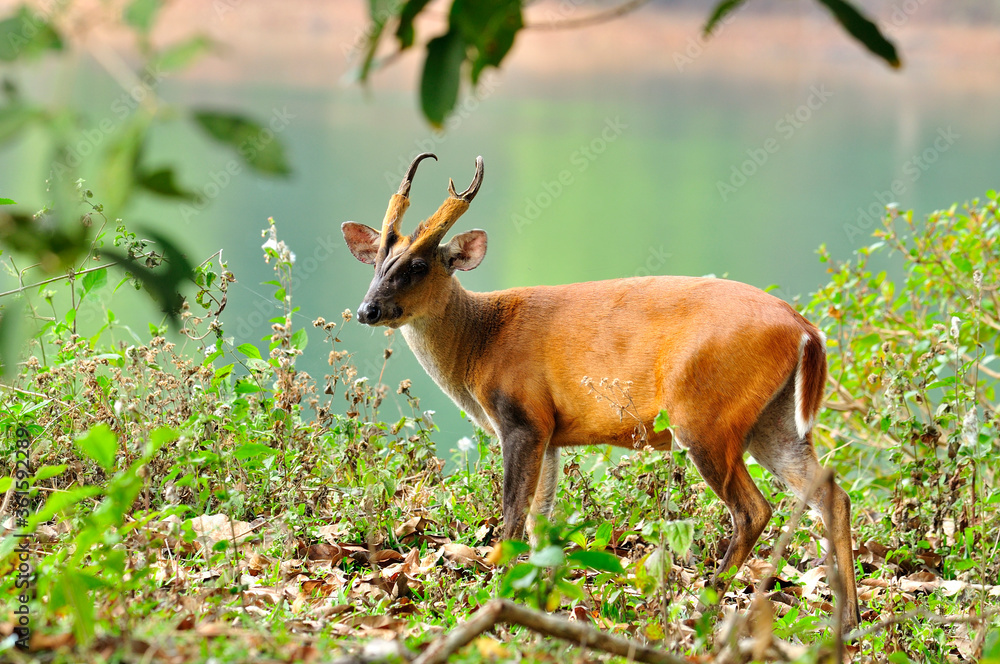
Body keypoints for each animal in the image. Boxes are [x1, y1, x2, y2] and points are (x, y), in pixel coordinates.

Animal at [342, 152, 860, 628]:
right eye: (379, 262)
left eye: (418, 265)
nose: (367, 310)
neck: (481, 341)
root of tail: (805, 330)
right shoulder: (550, 432)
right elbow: (539, 523)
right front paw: (539, 595)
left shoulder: (521, 417)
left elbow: (512, 517)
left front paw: (497, 591)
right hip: (773, 420)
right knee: (832, 495)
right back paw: (848, 619)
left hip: (705, 415)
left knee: (754, 510)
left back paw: (704, 608)